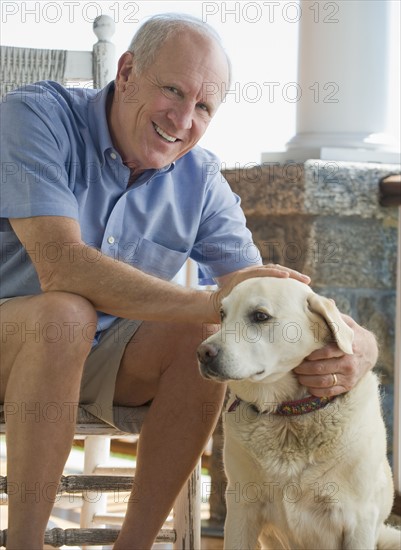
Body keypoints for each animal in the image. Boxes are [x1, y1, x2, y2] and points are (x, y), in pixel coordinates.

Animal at [197, 280, 396, 550]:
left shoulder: (360, 520)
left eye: (260, 316)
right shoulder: (241, 509)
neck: (289, 415)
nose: (202, 353)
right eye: (222, 314)